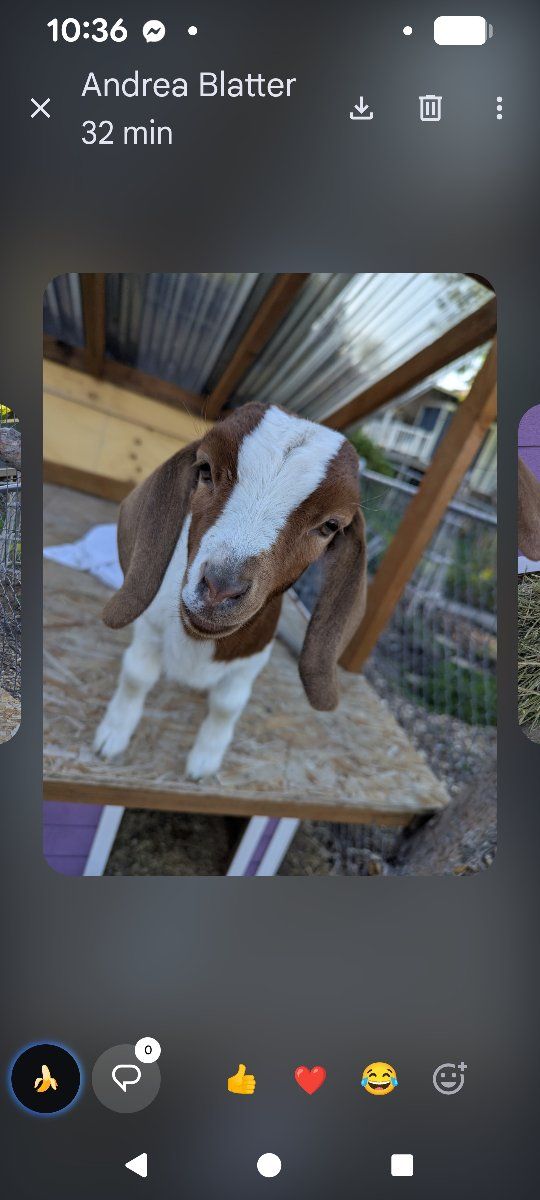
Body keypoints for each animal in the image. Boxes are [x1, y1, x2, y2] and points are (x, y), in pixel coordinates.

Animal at [94, 403, 367, 779]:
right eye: (205, 470)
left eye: (330, 526)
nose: (220, 589)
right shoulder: (149, 629)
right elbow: (137, 674)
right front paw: (113, 735)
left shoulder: (251, 661)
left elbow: (227, 705)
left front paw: (205, 761)